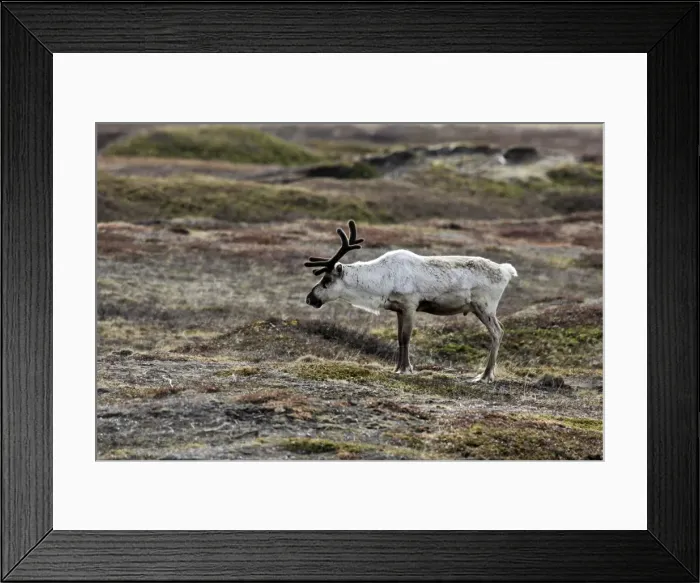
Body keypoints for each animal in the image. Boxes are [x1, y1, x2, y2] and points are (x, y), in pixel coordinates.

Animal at [304, 220, 518, 383]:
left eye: (327, 280)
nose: (309, 298)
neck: (382, 281)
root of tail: (506, 270)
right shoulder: (398, 309)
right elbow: (399, 338)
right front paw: (397, 368)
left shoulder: (410, 305)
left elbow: (406, 337)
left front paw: (406, 369)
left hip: (484, 307)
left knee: (498, 332)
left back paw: (485, 376)